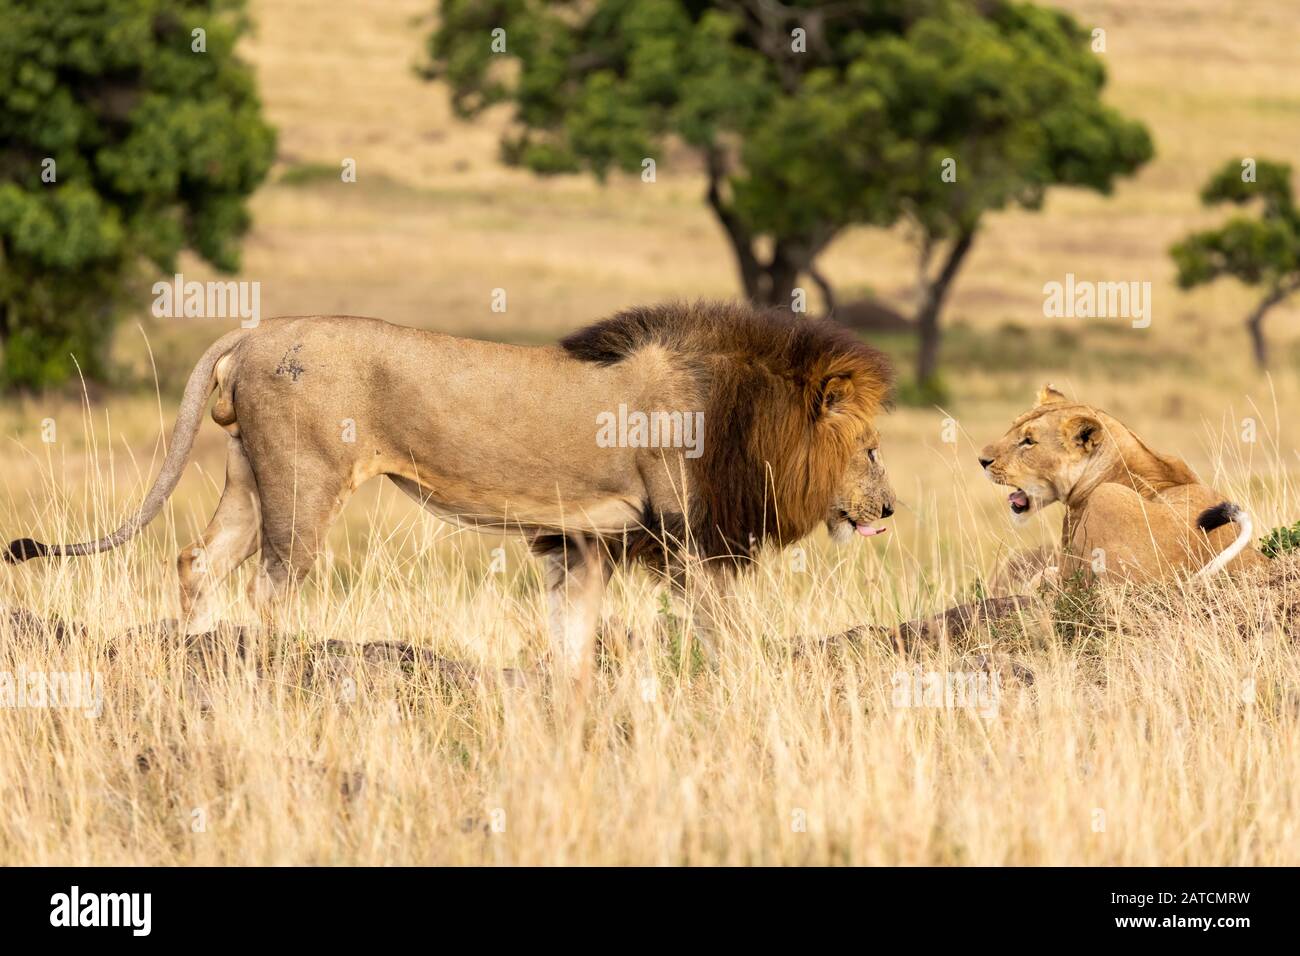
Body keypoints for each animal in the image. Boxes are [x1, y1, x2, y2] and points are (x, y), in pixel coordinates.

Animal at [5, 303, 894, 676]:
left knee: (199, 562)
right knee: (270, 586)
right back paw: (270, 666)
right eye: (872, 448)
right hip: (305, 479)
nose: (890, 510)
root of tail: (257, 330)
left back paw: (193, 657)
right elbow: (725, 630)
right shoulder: (684, 538)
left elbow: (573, 629)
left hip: (248, 476)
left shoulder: (587, 537)